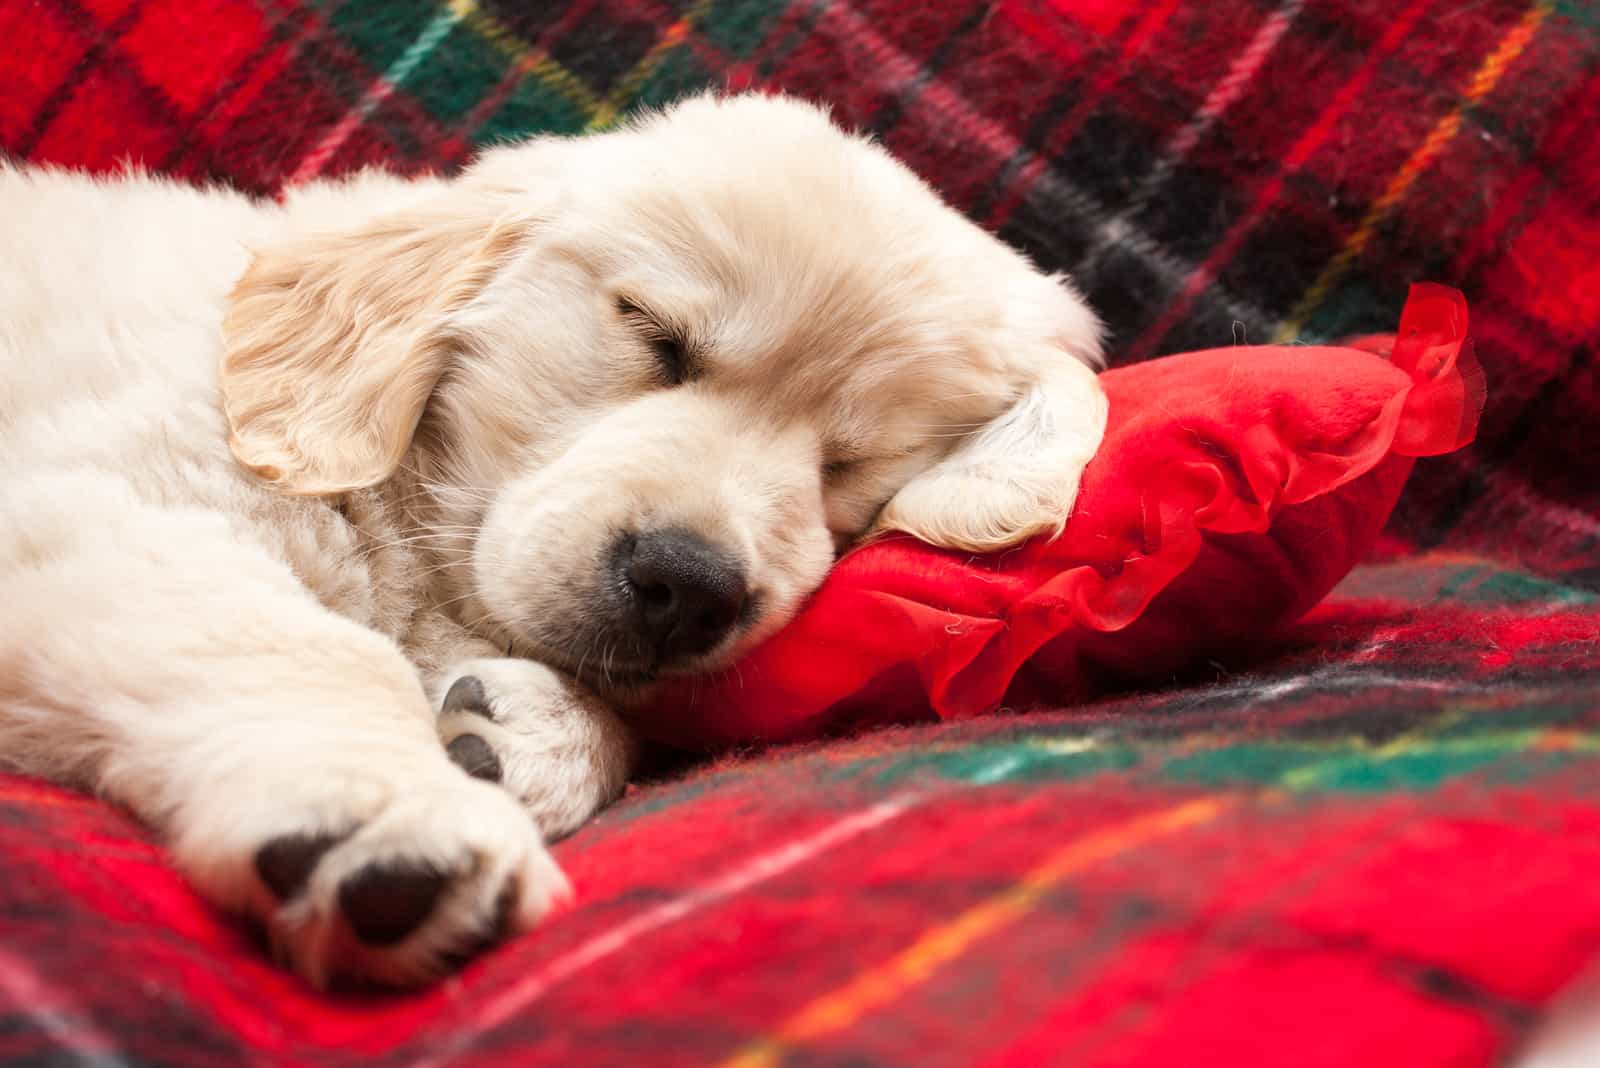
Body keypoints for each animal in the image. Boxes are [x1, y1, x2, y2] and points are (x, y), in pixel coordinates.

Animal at [0, 91, 1100, 984]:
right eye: (655, 337)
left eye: (851, 463)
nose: (688, 588)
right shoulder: (96, 505)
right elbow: (305, 646)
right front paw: (393, 812)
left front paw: (523, 733)